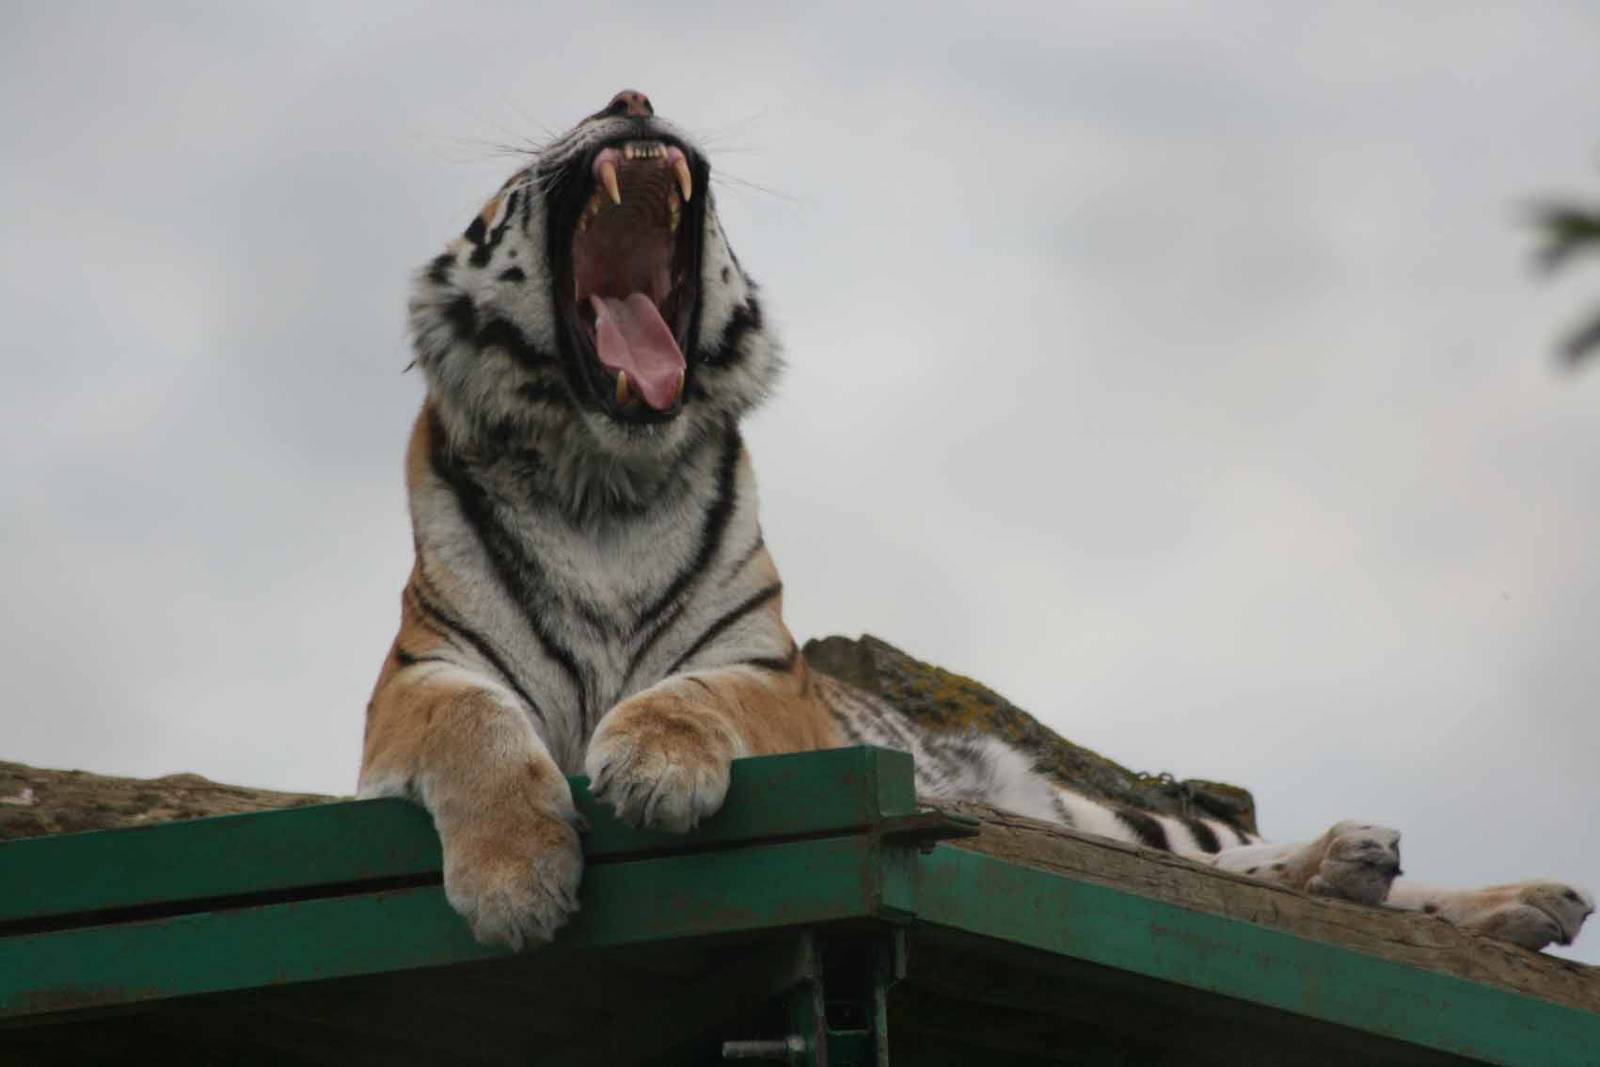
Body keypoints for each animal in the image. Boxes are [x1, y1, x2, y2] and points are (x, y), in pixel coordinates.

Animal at [359, 89, 1593, 955]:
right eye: (514, 181)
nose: (629, 97)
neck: (605, 475)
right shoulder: (417, 681)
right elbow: (478, 728)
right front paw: (518, 884)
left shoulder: (765, 671)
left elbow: (695, 691)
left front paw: (654, 767)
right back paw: (1389, 874)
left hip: (1103, 819)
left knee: (1218, 857)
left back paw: (1489, 887)